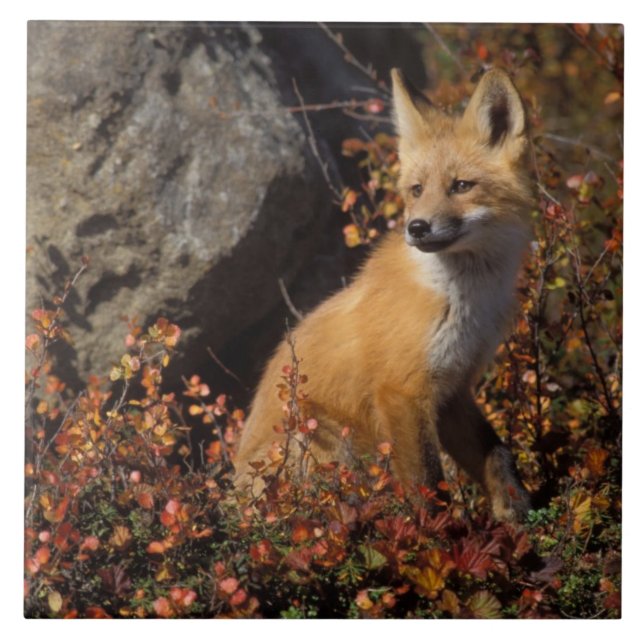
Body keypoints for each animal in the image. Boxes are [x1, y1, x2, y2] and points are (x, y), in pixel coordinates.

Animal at [233, 67, 533, 522]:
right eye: (416, 190)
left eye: (462, 186)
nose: (417, 228)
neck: (463, 302)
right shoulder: (402, 392)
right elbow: (429, 486)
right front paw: (444, 534)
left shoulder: (453, 388)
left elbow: (497, 453)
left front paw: (515, 509)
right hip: (322, 437)